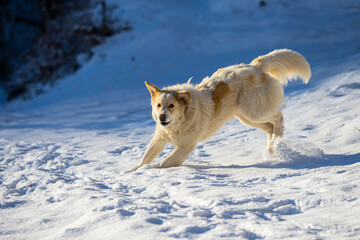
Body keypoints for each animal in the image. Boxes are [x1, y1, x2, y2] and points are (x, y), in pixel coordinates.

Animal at [128, 49, 310, 172]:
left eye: (171, 106)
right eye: (159, 105)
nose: (161, 117)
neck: (182, 118)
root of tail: (255, 66)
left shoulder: (186, 146)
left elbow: (165, 162)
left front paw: (152, 169)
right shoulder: (159, 139)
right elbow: (144, 158)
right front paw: (132, 171)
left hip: (253, 111)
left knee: (278, 117)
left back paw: (277, 142)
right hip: (246, 117)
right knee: (269, 127)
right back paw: (272, 149)